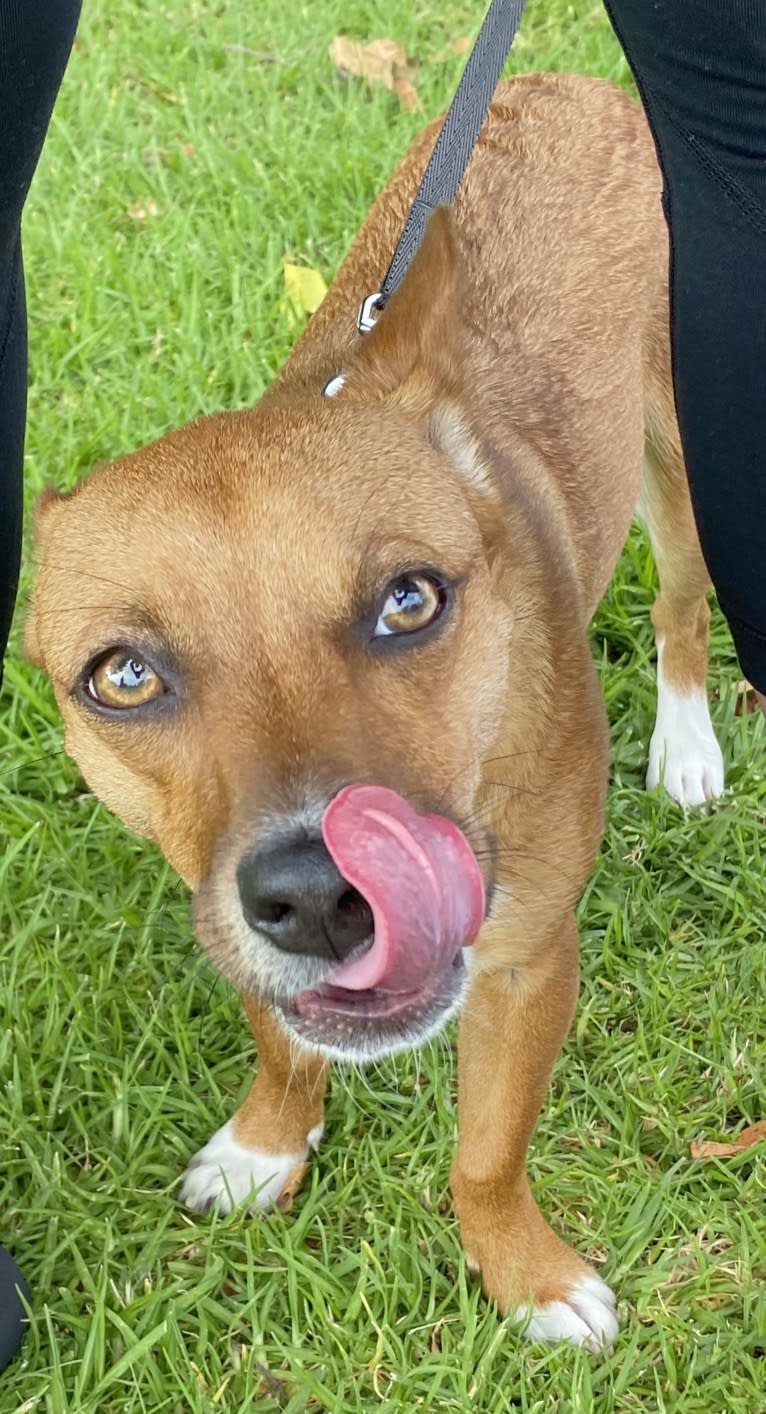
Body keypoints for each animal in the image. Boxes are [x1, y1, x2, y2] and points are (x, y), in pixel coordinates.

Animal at [28, 74, 729, 1346]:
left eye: (409, 600)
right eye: (123, 675)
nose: (316, 895)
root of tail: (564, 81)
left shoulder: (527, 961)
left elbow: (485, 1158)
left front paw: (526, 1275)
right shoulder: (219, 902)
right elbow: (281, 1042)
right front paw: (267, 1143)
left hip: (682, 466)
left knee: (681, 605)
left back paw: (690, 742)